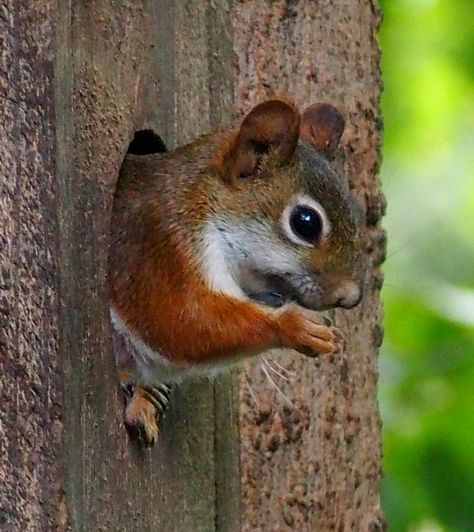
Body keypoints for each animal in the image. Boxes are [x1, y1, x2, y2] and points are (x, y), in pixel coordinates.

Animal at [108, 98, 366, 444]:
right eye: (306, 222)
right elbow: (180, 321)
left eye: (356, 212)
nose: (350, 297)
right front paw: (295, 326)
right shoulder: (158, 247)